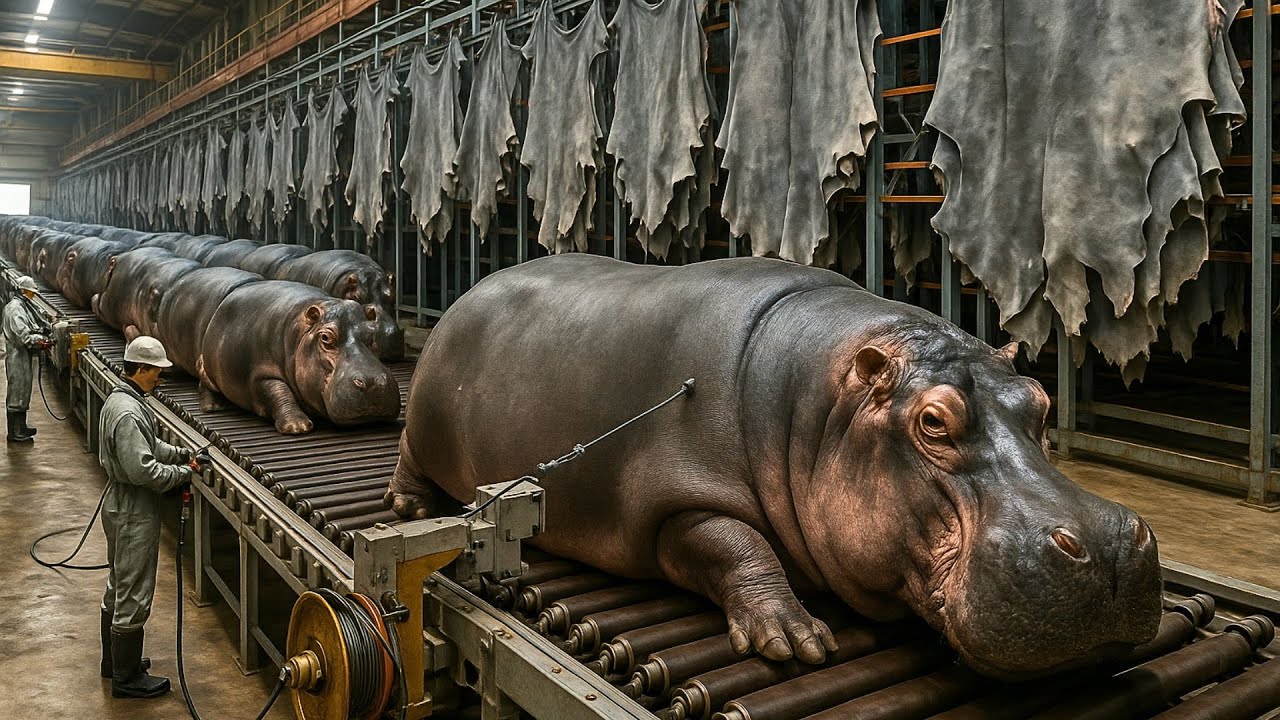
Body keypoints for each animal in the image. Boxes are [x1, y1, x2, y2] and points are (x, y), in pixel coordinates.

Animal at [197, 280, 401, 433]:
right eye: (326, 338)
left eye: (372, 333)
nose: (374, 382)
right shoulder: (261, 373)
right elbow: (278, 391)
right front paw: (297, 427)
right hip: (208, 368)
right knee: (205, 383)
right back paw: (213, 407)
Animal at [385, 255, 1162, 680]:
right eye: (933, 422)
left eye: (1041, 400)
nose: (1109, 545)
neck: (818, 406)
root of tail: (470, 290)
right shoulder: (678, 495)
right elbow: (733, 543)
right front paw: (796, 641)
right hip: (422, 420)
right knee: (407, 460)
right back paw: (407, 510)